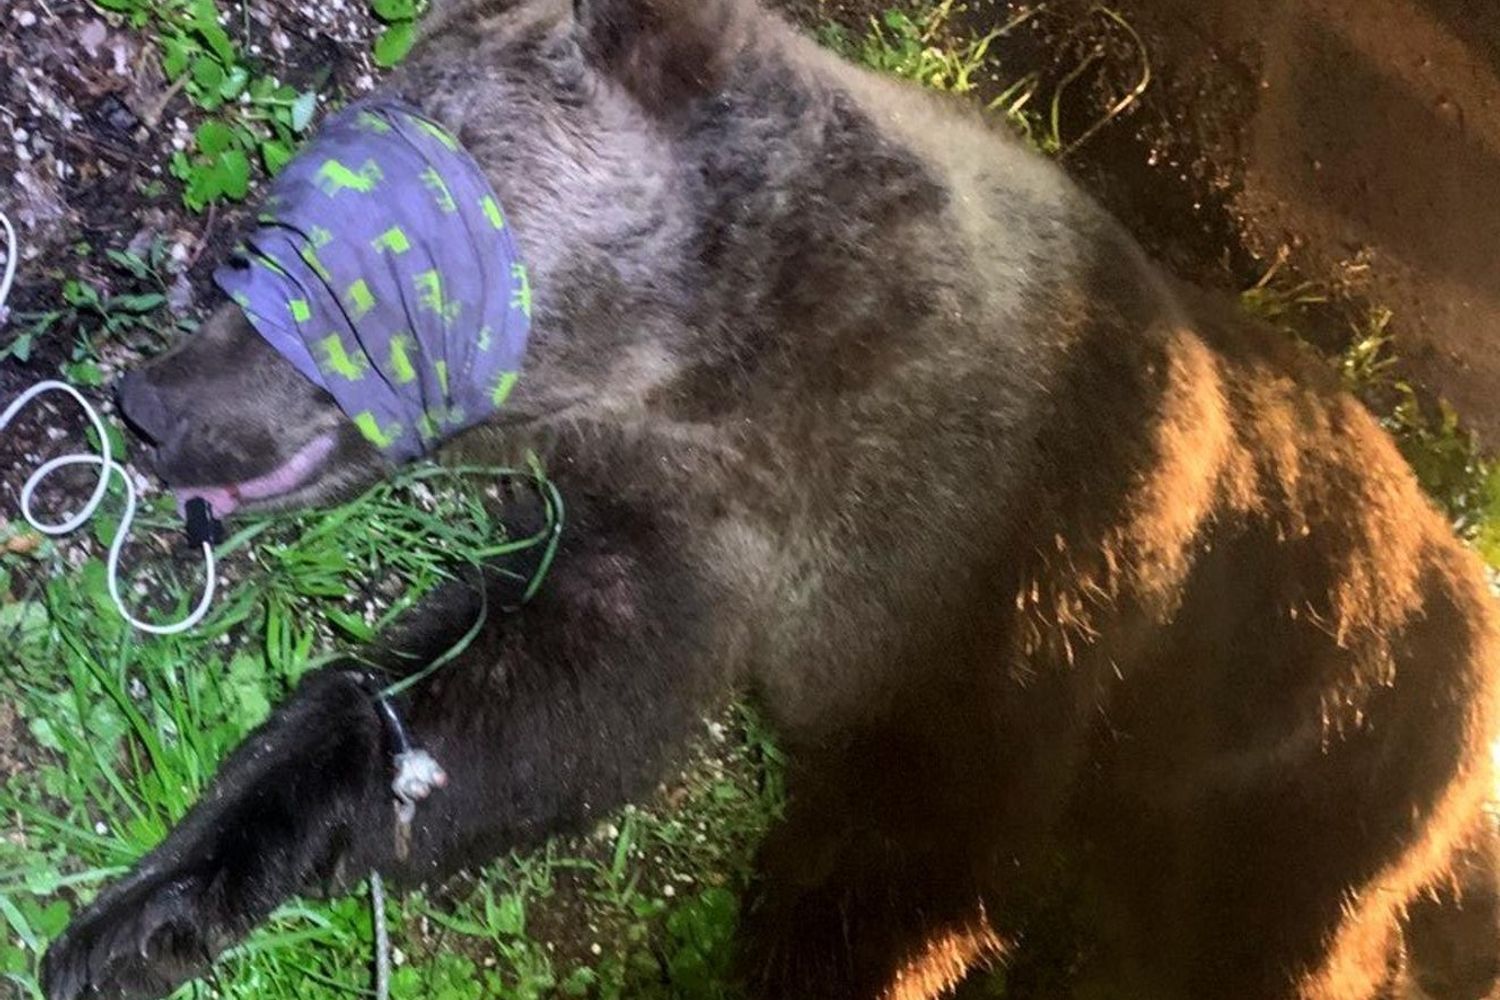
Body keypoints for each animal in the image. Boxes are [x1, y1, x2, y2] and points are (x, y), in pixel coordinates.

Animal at [40, 0, 1500, 997]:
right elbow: (511, 704)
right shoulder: (691, 542)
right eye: (264, 226)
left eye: (343, 254)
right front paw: (138, 911)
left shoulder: (1019, 584)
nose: (154, 403)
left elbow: (899, 860)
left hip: (1321, 757)